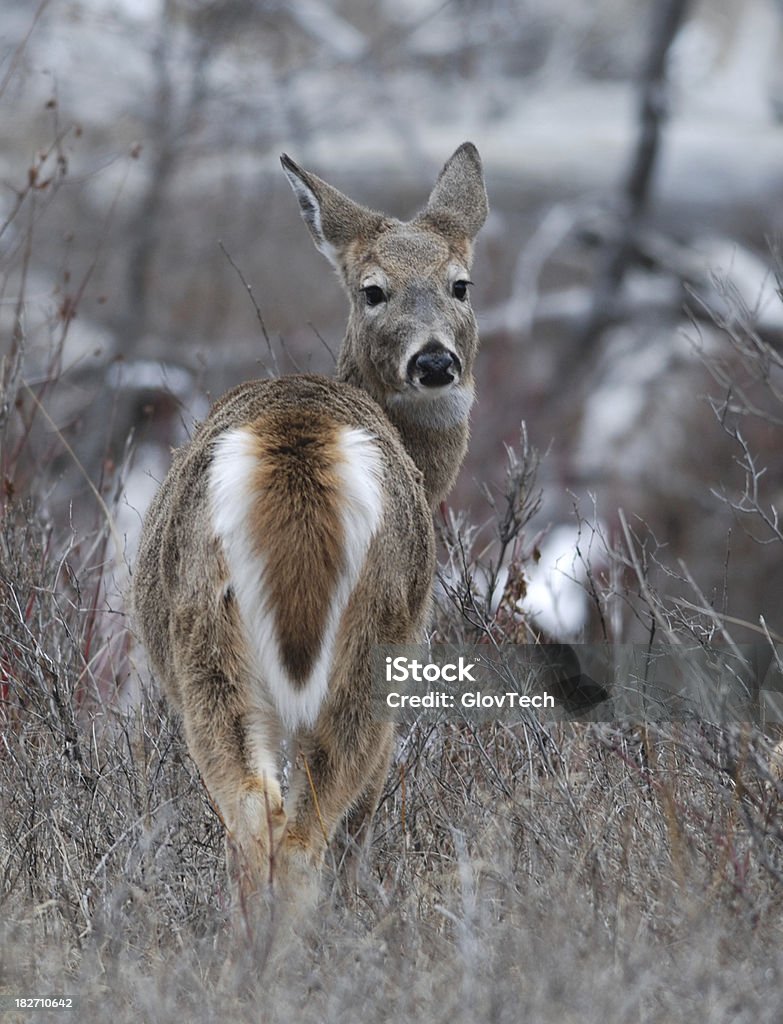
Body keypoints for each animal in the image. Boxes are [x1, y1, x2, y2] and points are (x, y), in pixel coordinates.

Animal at [134, 144, 489, 905]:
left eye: (460, 285)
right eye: (372, 290)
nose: (434, 361)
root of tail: (299, 458)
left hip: (206, 636)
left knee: (254, 813)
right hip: (372, 640)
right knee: (303, 832)